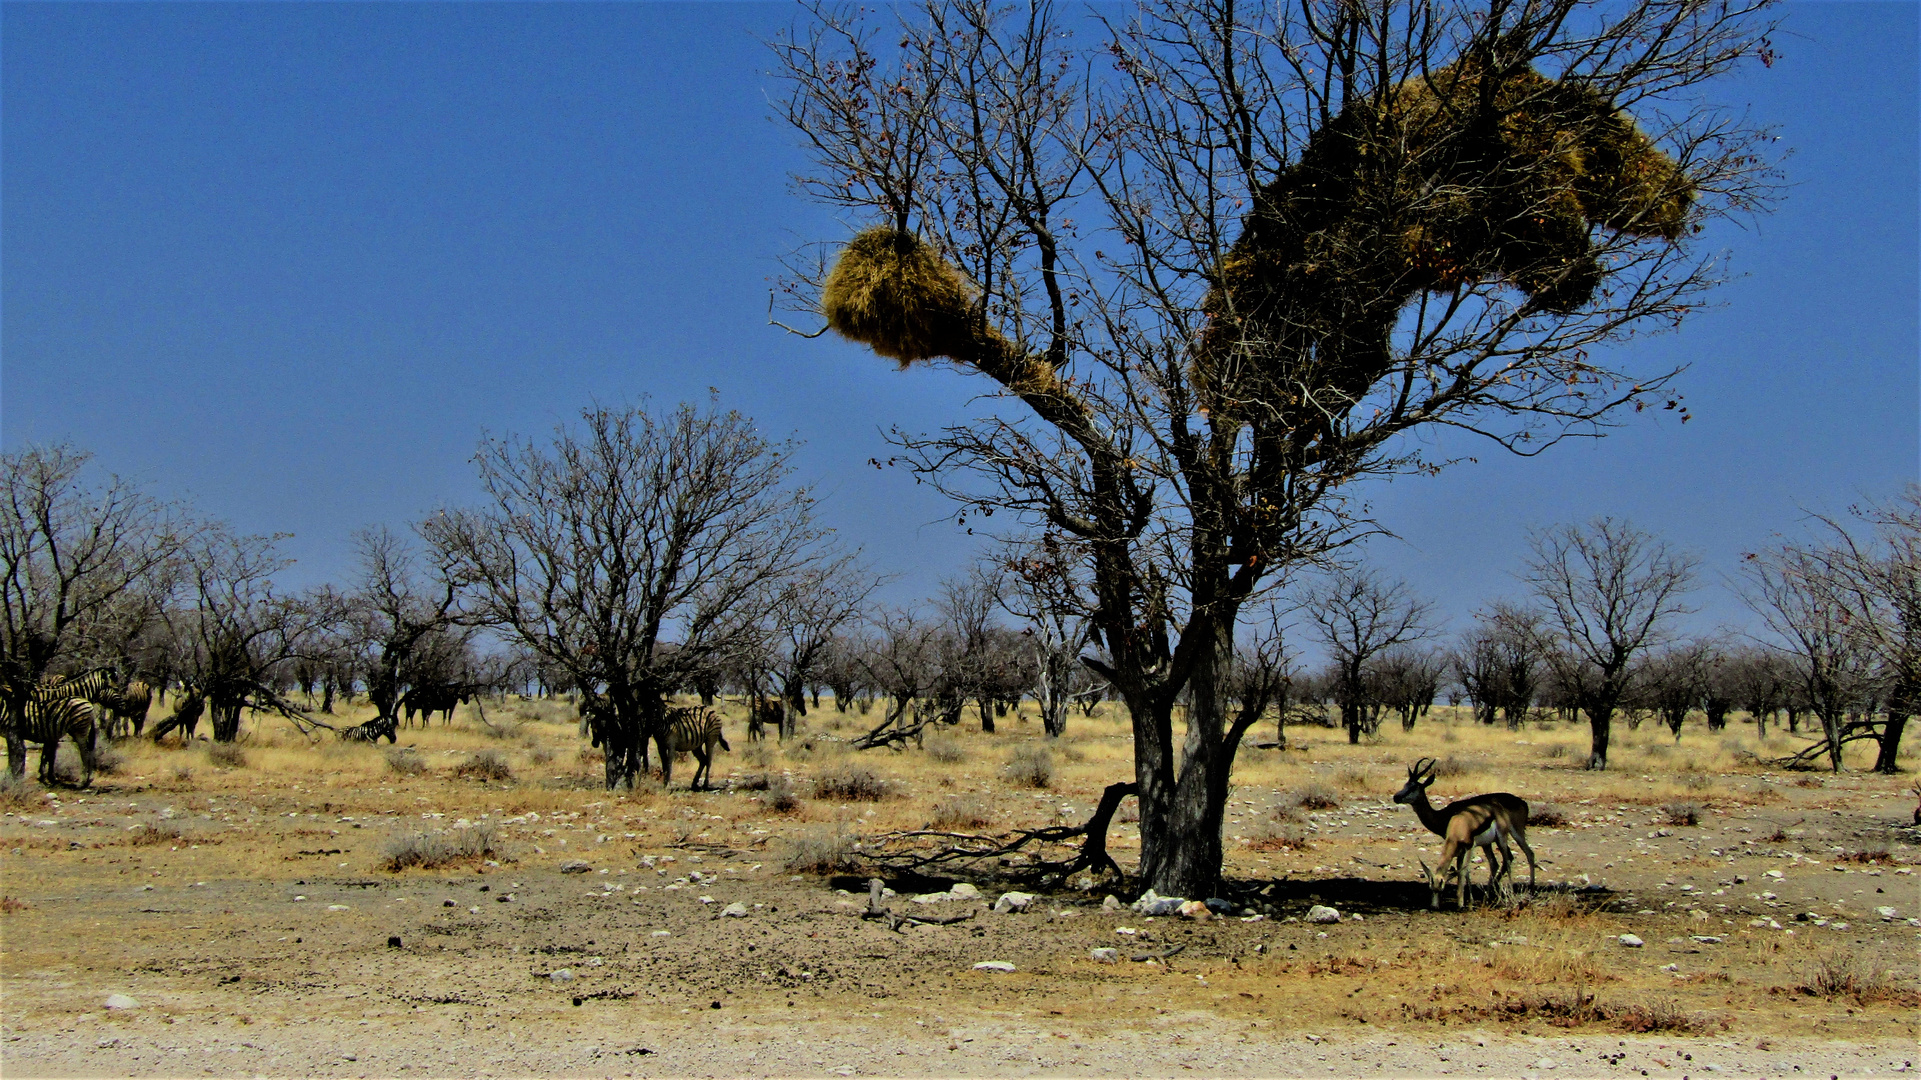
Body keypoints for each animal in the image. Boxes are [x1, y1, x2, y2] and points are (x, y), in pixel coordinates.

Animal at [1390, 757, 1536, 907]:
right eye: (1405, 784)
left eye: (1413, 787)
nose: (1396, 797)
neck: (1442, 815)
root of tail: (1522, 802)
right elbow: (1460, 868)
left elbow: (1463, 870)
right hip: (1491, 842)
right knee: (1502, 861)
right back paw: (1490, 895)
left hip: (1514, 833)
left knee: (1527, 854)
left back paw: (1528, 890)